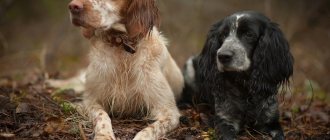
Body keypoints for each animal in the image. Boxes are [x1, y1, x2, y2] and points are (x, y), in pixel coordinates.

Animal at [48, 0, 184, 139]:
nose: (73, 6)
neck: (121, 45)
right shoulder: (91, 100)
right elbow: (102, 116)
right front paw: (104, 135)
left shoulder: (169, 111)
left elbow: (149, 130)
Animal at [182, 11, 292, 140]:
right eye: (223, 35)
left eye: (249, 34)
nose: (222, 56)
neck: (245, 87)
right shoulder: (224, 119)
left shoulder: (271, 121)